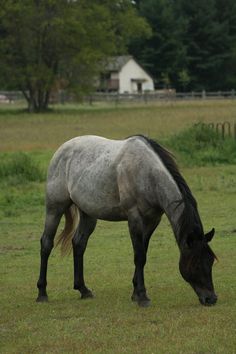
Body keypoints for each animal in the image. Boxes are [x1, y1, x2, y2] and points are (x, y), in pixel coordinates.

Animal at [37, 136, 218, 306]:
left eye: (210, 261)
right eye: (195, 264)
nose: (211, 299)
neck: (147, 175)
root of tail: (61, 150)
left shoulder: (152, 221)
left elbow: (143, 254)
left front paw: (136, 293)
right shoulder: (134, 218)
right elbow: (139, 256)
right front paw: (142, 297)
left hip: (88, 213)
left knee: (79, 244)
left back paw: (83, 289)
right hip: (55, 209)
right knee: (46, 243)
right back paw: (42, 293)